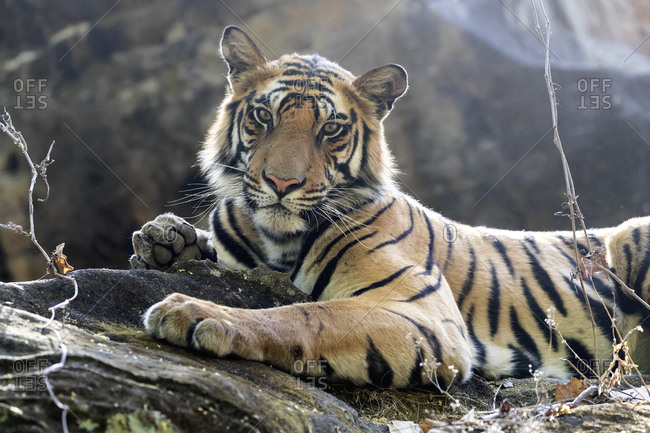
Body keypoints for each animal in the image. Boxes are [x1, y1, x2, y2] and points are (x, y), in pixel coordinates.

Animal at [130, 25, 648, 386]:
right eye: (264, 116)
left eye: (330, 129)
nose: (282, 182)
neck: (276, 239)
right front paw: (164, 238)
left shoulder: (421, 312)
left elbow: (304, 314)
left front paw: (198, 313)